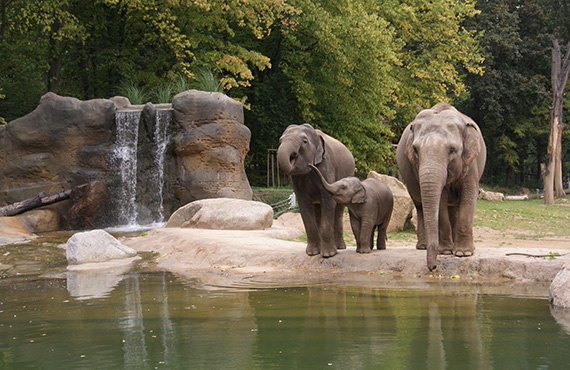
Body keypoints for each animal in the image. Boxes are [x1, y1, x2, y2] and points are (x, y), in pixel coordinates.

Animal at [276, 124, 352, 258]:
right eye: (280, 141)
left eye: (305, 141)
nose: (310, 165)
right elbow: (304, 204)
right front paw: (312, 253)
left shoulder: (326, 167)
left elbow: (328, 201)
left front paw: (328, 255)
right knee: (318, 209)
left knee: (338, 209)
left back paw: (340, 247)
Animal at [394, 102, 484, 270]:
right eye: (415, 150)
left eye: (452, 150)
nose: (433, 267)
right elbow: (441, 199)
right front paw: (446, 252)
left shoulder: (471, 164)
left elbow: (469, 194)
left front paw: (464, 254)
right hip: (409, 177)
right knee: (420, 205)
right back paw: (423, 246)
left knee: (454, 206)